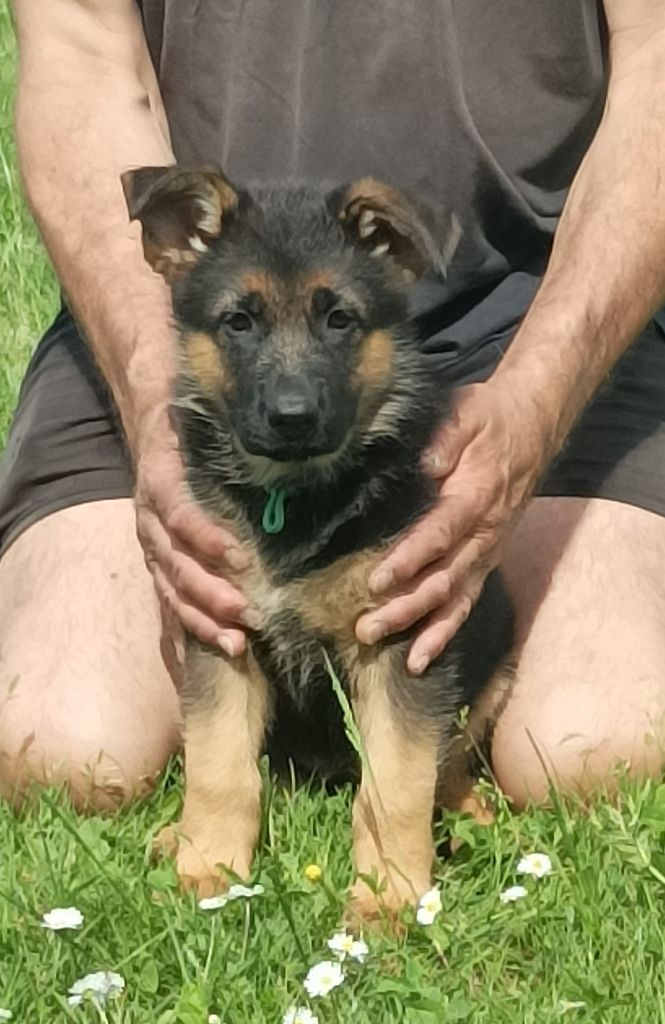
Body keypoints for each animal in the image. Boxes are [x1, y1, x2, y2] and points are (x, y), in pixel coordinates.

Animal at [122, 166, 513, 919]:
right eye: (238, 321)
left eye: (340, 320)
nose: (292, 417)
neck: (292, 497)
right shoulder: (221, 633)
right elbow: (219, 766)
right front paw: (205, 870)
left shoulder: (400, 644)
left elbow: (395, 785)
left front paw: (388, 902)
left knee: (448, 764)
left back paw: (472, 822)